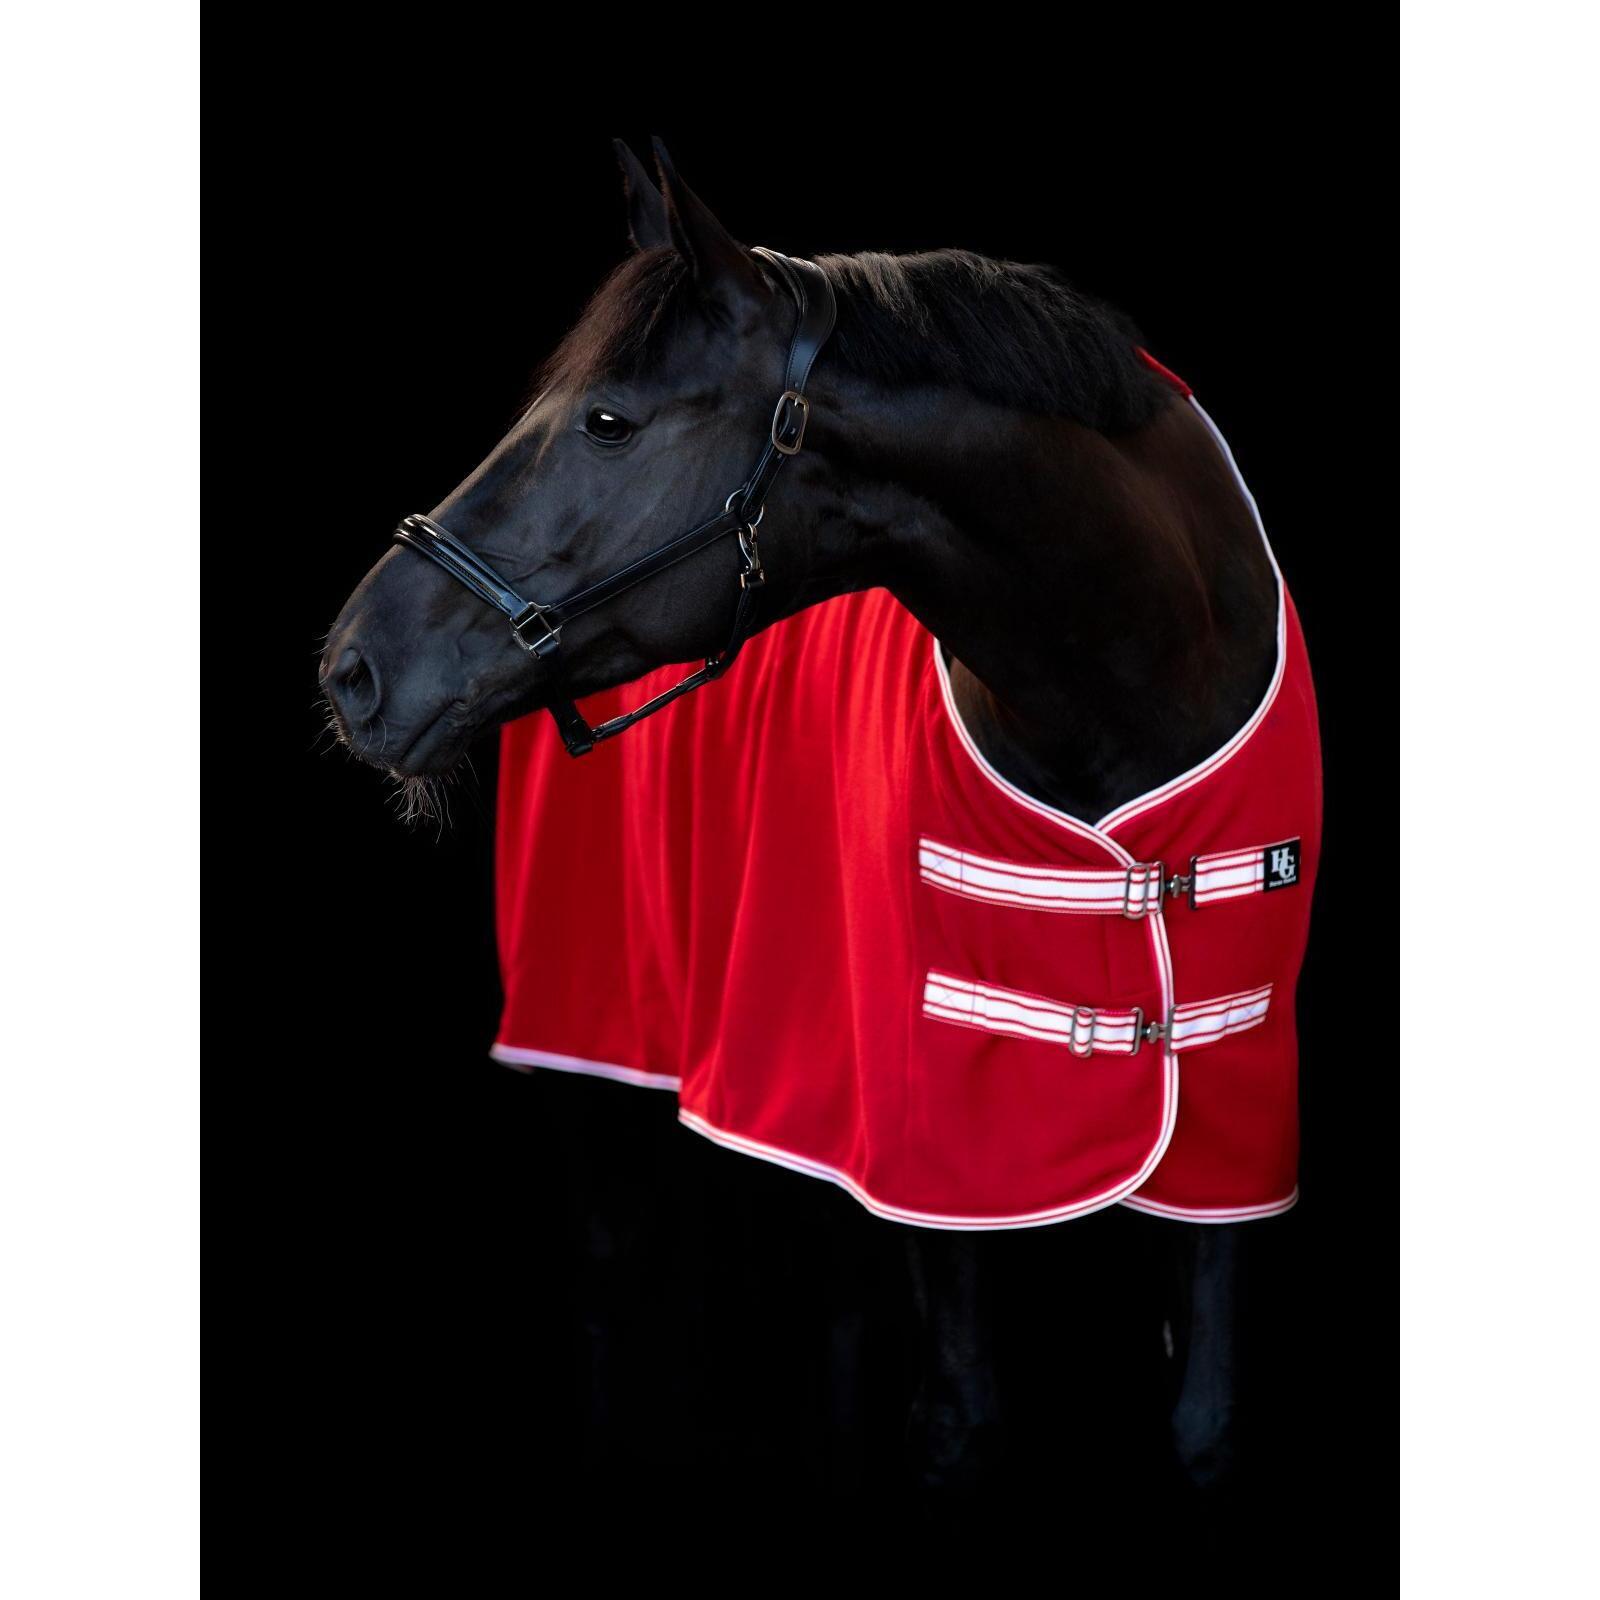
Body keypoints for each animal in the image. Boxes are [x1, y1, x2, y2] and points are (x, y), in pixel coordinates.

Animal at [321, 138, 1316, 1498]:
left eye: (607, 419)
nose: (355, 668)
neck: (1138, 668)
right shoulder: (928, 1137)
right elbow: (960, 1415)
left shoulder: (1228, 1106)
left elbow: (1204, 1419)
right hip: (592, 1033)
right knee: (607, 1269)